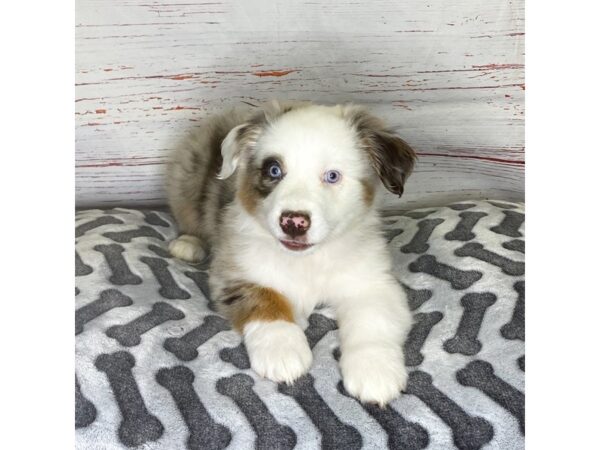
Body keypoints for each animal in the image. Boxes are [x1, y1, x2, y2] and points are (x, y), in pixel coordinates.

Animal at [166, 100, 414, 406]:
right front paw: (281, 346)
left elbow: (373, 319)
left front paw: (374, 370)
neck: (306, 261)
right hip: (187, 178)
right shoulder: (234, 269)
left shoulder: (372, 281)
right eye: (274, 170)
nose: (294, 222)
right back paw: (188, 243)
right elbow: (265, 298)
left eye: (332, 176)